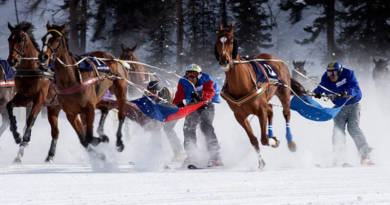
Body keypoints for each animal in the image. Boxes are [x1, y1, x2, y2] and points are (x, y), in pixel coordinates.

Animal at [6, 22, 61, 163]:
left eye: (21, 39)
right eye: (9, 39)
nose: (12, 61)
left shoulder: (39, 99)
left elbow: (30, 120)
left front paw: (24, 140)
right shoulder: (24, 97)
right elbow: (9, 106)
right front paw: (16, 135)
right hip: (53, 107)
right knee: (55, 132)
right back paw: (50, 155)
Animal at [38, 22, 127, 153]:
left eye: (57, 39)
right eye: (43, 38)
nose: (43, 57)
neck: (70, 81)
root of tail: (114, 58)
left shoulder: (89, 108)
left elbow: (89, 137)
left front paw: (100, 139)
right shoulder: (71, 113)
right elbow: (83, 139)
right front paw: (100, 140)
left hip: (120, 90)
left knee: (121, 114)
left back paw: (119, 141)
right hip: (98, 98)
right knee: (106, 106)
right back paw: (102, 133)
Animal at [213, 23, 308, 168]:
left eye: (231, 41)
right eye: (218, 42)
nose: (224, 61)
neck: (241, 83)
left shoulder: (260, 110)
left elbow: (264, 139)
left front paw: (273, 140)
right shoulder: (239, 116)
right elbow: (253, 140)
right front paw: (261, 162)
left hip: (284, 93)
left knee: (286, 113)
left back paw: (290, 143)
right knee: (271, 109)